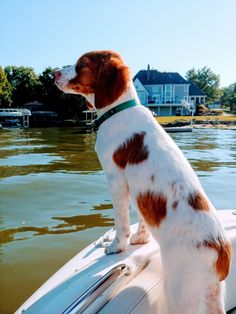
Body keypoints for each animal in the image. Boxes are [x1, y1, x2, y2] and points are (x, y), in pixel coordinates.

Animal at [54, 50, 231, 312]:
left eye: (81, 65)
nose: (54, 73)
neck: (120, 110)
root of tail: (221, 254)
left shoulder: (116, 179)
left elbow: (121, 221)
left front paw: (116, 247)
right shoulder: (136, 188)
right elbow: (141, 217)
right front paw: (140, 239)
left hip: (180, 292)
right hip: (212, 295)